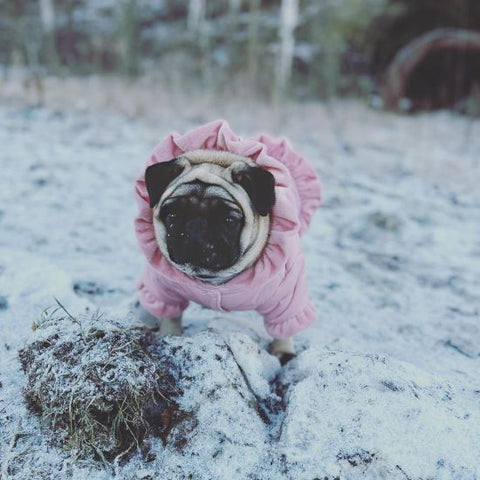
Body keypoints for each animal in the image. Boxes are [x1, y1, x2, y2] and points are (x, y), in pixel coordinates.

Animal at [134, 120, 322, 360]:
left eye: (229, 220)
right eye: (173, 215)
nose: (196, 227)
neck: (213, 279)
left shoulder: (286, 298)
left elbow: (284, 326)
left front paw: (283, 352)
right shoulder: (164, 289)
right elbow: (170, 314)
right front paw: (169, 336)